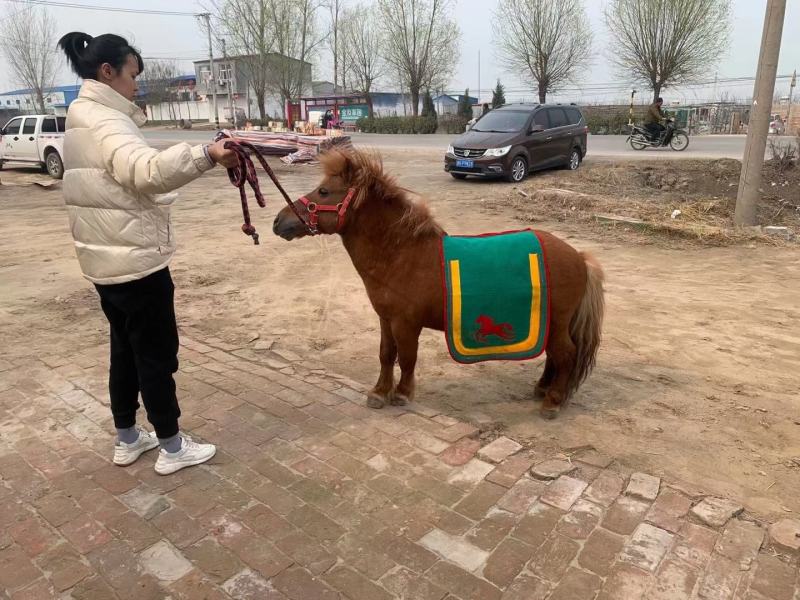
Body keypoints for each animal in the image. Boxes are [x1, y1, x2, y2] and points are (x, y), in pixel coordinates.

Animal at [272, 149, 604, 418]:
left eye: (324, 191)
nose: (278, 221)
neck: (401, 253)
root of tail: (579, 257)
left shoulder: (406, 323)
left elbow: (407, 358)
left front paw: (402, 394)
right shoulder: (385, 319)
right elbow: (385, 355)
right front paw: (379, 392)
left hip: (557, 324)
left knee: (565, 355)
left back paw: (553, 401)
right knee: (555, 356)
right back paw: (543, 389)